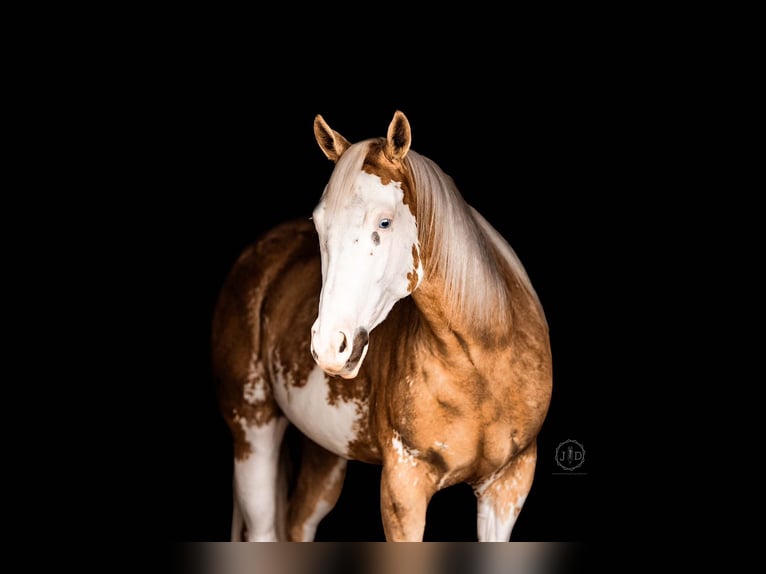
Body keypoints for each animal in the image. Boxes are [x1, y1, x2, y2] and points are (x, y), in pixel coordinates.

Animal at [211, 110, 553, 541]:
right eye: (319, 225)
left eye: (385, 222)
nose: (329, 346)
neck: (482, 362)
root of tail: (257, 255)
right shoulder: (403, 487)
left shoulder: (509, 483)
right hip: (252, 432)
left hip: (325, 454)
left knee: (298, 522)